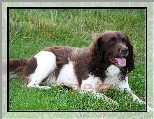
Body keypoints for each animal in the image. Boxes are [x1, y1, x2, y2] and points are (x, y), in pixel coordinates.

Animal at [9, 30, 153, 111]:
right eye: (111, 42)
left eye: (124, 41)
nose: (125, 50)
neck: (105, 67)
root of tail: (29, 59)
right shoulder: (86, 90)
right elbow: (105, 97)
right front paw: (115, 103)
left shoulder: (125, 89)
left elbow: (137, 98)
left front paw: (147, 107)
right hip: (50, 58)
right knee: (30, 85)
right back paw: (46, 88)